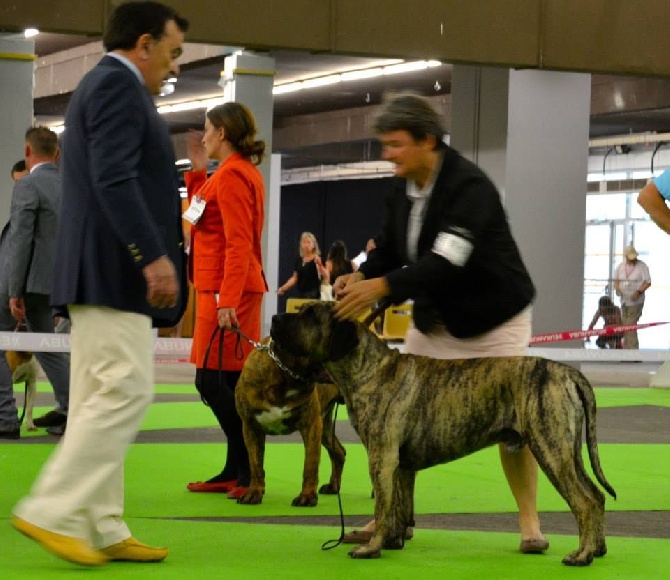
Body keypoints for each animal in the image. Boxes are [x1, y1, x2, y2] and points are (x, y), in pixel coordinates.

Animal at [234, 338, 346, 506]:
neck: (286, 377)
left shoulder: (311, 424)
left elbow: (310, 464)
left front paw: (307, 496)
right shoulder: (250, 427)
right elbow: (255, 464)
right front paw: (254, 492)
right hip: (325, 427)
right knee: (338, 452)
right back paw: (333, 486)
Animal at [272, 304, 620, 568]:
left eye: (310, 315)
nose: (275, 318)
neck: (369, 369)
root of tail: (568, 372)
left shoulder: (381, 458)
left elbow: (383, 508)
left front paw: (371, 548)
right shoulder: (399, 465)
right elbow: (399, 506)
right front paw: (394, 540)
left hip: (551, 449)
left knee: (584, 501)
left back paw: (582, 555)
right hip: (568, 451)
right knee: (596, 496)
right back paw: (598, 549)